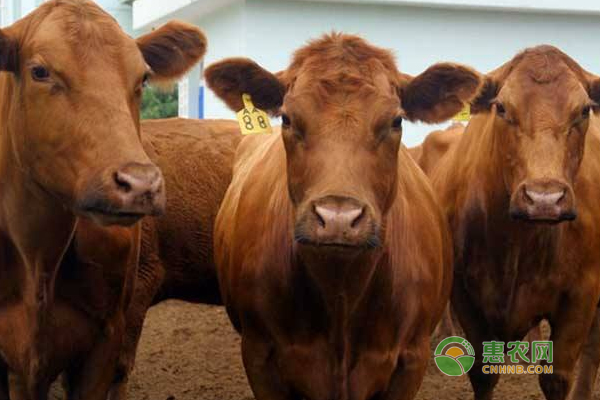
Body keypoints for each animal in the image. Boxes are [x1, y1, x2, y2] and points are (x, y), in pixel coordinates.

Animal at [206, 34, 482, 400]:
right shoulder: (258, 354)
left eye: (396, 121)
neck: (340, 295)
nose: (338, 217)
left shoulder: (412, 358)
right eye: (287, 119)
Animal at [432, 45, 600, 398]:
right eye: (502, 108)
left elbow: (556, 378)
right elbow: (483, 373)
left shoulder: (581, 297)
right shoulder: (466, 296)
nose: (544, 199)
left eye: (583, 111)